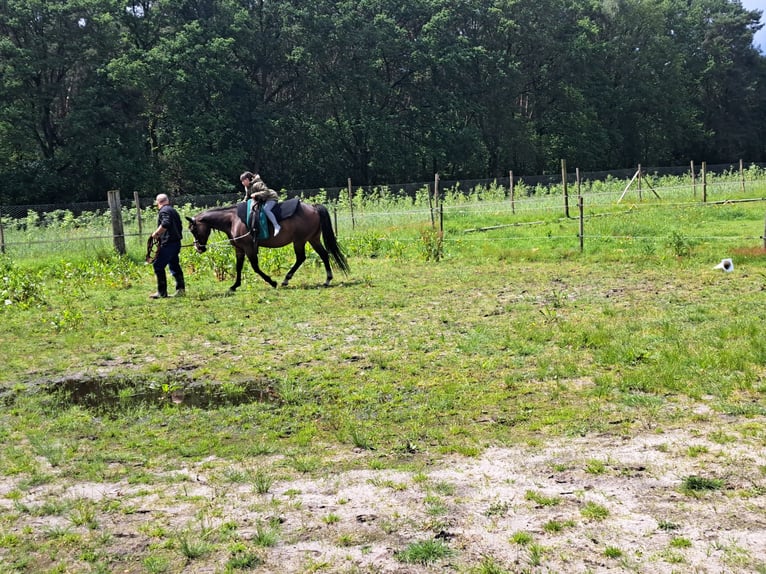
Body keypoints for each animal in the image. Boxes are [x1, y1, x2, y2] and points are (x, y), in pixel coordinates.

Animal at [189, 202, 352, 292]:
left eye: (193, 229)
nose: (198, 248)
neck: (233, 220)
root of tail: (313, 207)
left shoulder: (249, 248)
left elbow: (255, 267)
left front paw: (272, 282)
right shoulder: (239, 249)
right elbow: (239, 267)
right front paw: (234, 286)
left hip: (299, 241)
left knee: (301, 258)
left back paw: (286, 279)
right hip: (313, 239)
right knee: (323, 254)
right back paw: (327, 280)